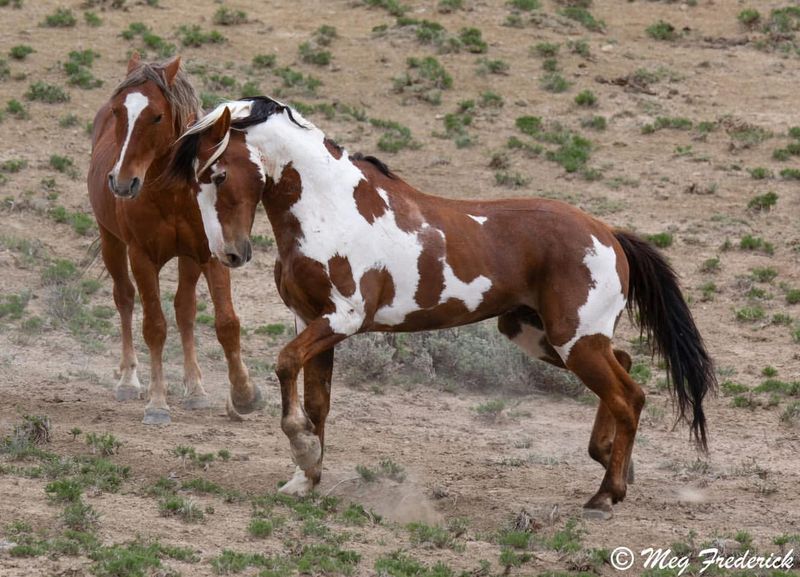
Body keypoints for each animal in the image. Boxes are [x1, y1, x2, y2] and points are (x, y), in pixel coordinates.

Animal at [87, 55, 262, 424]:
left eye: (156, 115)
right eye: (118, 112)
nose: (122, 182)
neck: (173, 195)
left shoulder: (211, 254)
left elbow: (226, 323)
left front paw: (243, 394)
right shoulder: (141, 257)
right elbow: (154, 326)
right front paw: (157, 402)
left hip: (188, 258)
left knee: (185, 309)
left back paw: (195, 388)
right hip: (111, 242)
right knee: (124, 298)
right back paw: (128, 380)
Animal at [172, 97, 716, 516]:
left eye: (219, 173)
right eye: (194, 179)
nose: (230, 254)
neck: (330, 209)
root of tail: (608, 233)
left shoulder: (341, 319)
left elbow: (286, 366)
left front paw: (304, 451)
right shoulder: (313, 322)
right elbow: (316, 402)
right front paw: (307, 477)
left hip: (573, 340)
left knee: (629, 396)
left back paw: (606, 494)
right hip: (541, 335)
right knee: (623, 367)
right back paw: (609, 460)